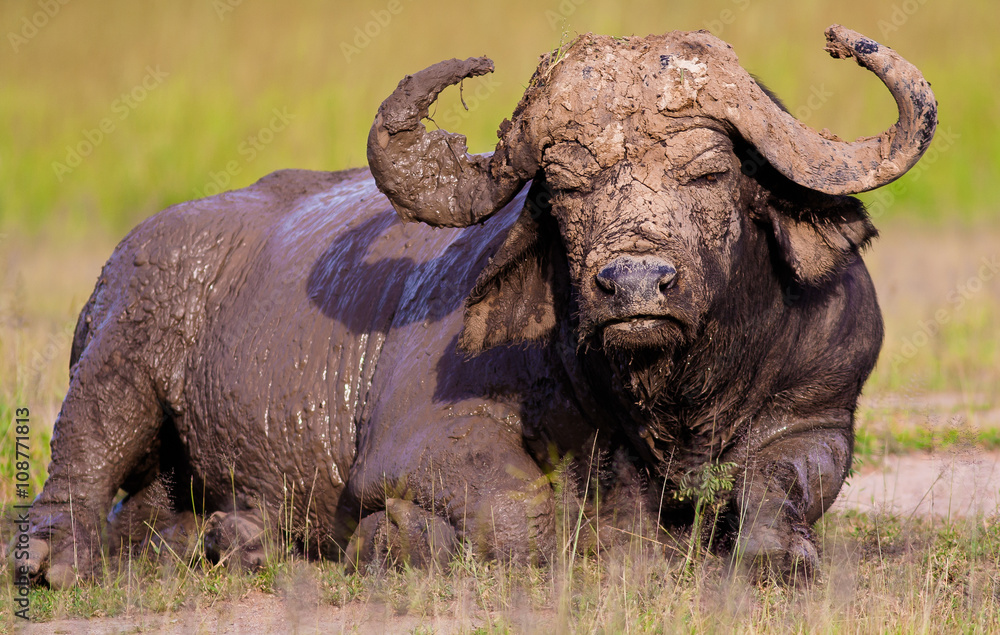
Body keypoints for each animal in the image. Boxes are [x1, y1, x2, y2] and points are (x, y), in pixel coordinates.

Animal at [16, 25, 936, 587]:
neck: (672, 399)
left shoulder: (821, 415)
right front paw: (394, 538)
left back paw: (227, 538)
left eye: (711, 172)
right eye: (564, 187)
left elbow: (778, 489)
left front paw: (782, 551)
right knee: (81, 456)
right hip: (119, 353)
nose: (635, 283)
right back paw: (53, 558)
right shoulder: (420, 439)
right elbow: (523, 512)